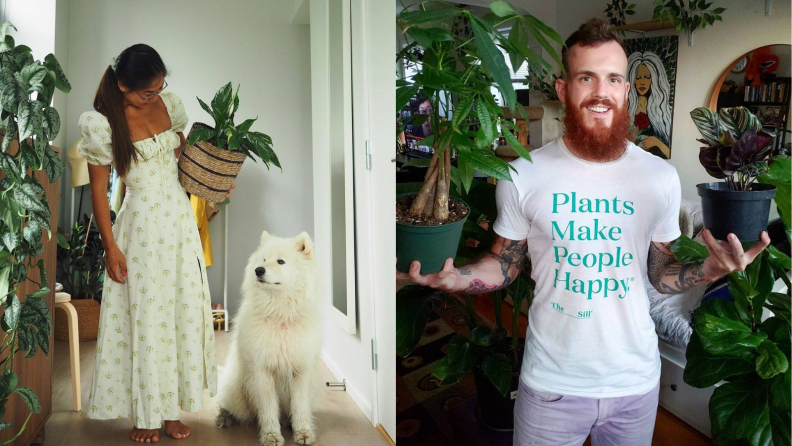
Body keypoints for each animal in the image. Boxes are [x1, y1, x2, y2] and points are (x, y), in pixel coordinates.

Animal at [215, 232, 324, 444]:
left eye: (281, 261)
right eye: (264, 260)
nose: (258, 270)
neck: (280, 314)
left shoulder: (301, 370)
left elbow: (300, 406)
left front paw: (302, 432)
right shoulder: (262, 370)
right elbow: (267, 408)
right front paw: (271, 436)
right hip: (237, 393)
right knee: (225, 403)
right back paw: (224, 417)